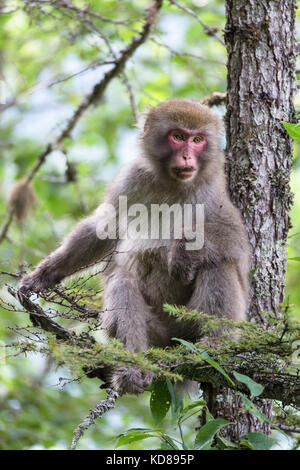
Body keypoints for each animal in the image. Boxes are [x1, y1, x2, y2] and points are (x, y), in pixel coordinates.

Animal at [17, 98, 251, 392]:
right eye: (178, 137)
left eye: (197, 139)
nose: (187, 157)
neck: (172, 183)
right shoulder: (133, 176)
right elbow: (105, 227)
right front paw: (43, 275)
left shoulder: (212, 188)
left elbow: (236, 240)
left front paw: (184, 252)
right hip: (158, 336)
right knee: (121, 280)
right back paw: (134, 365)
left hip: (189, 327)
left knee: (218, 262)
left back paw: (214, 346)